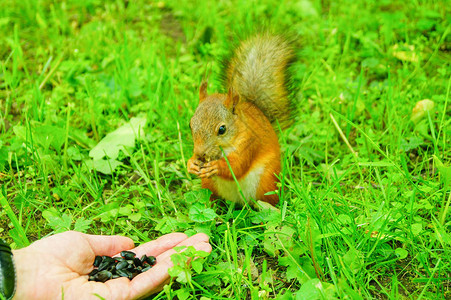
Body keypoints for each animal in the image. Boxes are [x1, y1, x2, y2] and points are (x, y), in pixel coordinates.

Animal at [187, 33, 296, 206]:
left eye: (222, 129)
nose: (200, 153)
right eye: (190, 125)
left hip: (266, 181)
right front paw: (191, 163)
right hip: (209, 185)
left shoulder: (250, 142)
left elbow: (237, 166)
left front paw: (216, 167)